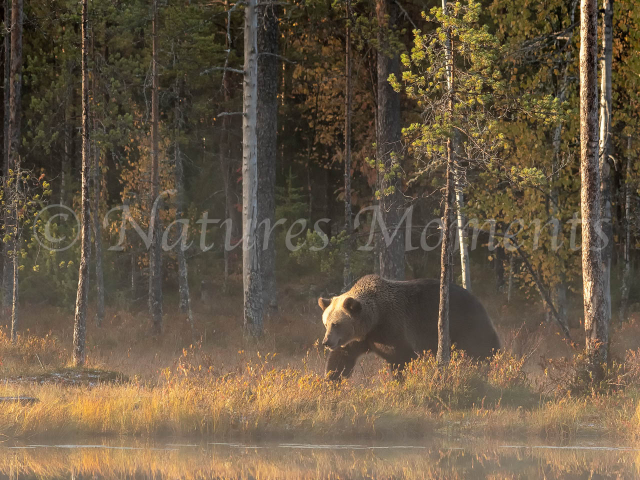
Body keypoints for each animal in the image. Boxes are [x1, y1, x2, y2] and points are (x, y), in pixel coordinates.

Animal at [318, 276, 500, 380]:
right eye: (326, 323)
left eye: (336, 324)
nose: (326, 342)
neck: (373, 320)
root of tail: (475, 297)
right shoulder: (359, 339)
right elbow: (341, 358)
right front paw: (331, 380)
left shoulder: (391, 327)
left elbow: (402, 358)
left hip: (464, 321)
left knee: (482, 346)